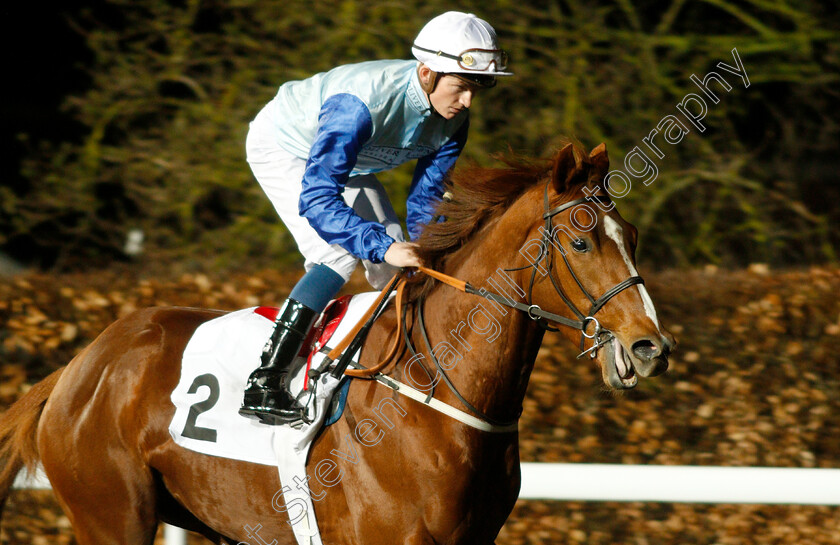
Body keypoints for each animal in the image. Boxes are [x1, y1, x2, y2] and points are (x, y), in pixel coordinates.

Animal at [0, 142, 668, 540]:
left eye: (632, 235)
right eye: (580, 241)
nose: (649, 348)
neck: (437, 398)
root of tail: (82, 365)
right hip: (112, 515)